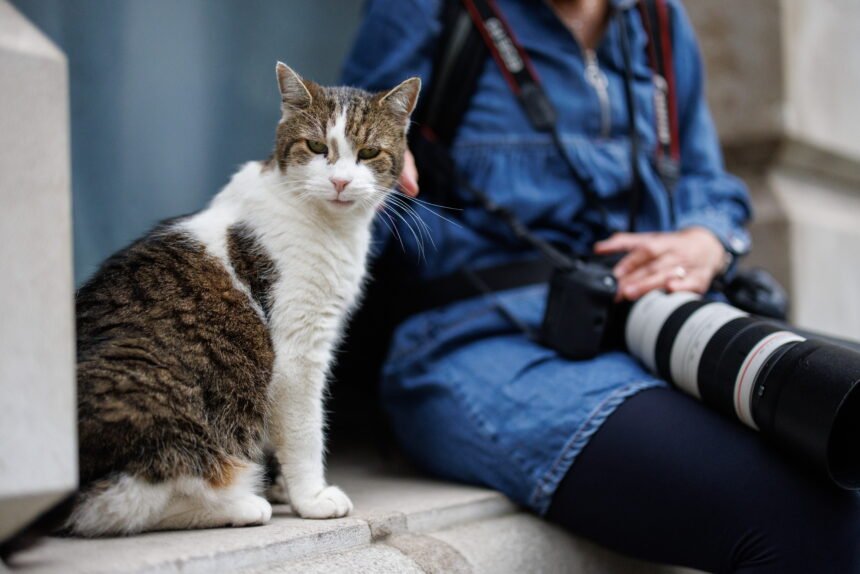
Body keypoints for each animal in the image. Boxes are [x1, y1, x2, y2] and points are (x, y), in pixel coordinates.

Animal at [67, 64, 420, 540]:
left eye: (368, 153)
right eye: (316, 146)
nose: (341, 181)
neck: (331, 225)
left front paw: (285, 485)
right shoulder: (298, 351)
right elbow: (305, 430)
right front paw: (311, 497)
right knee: (115, 505)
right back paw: (241, 502)